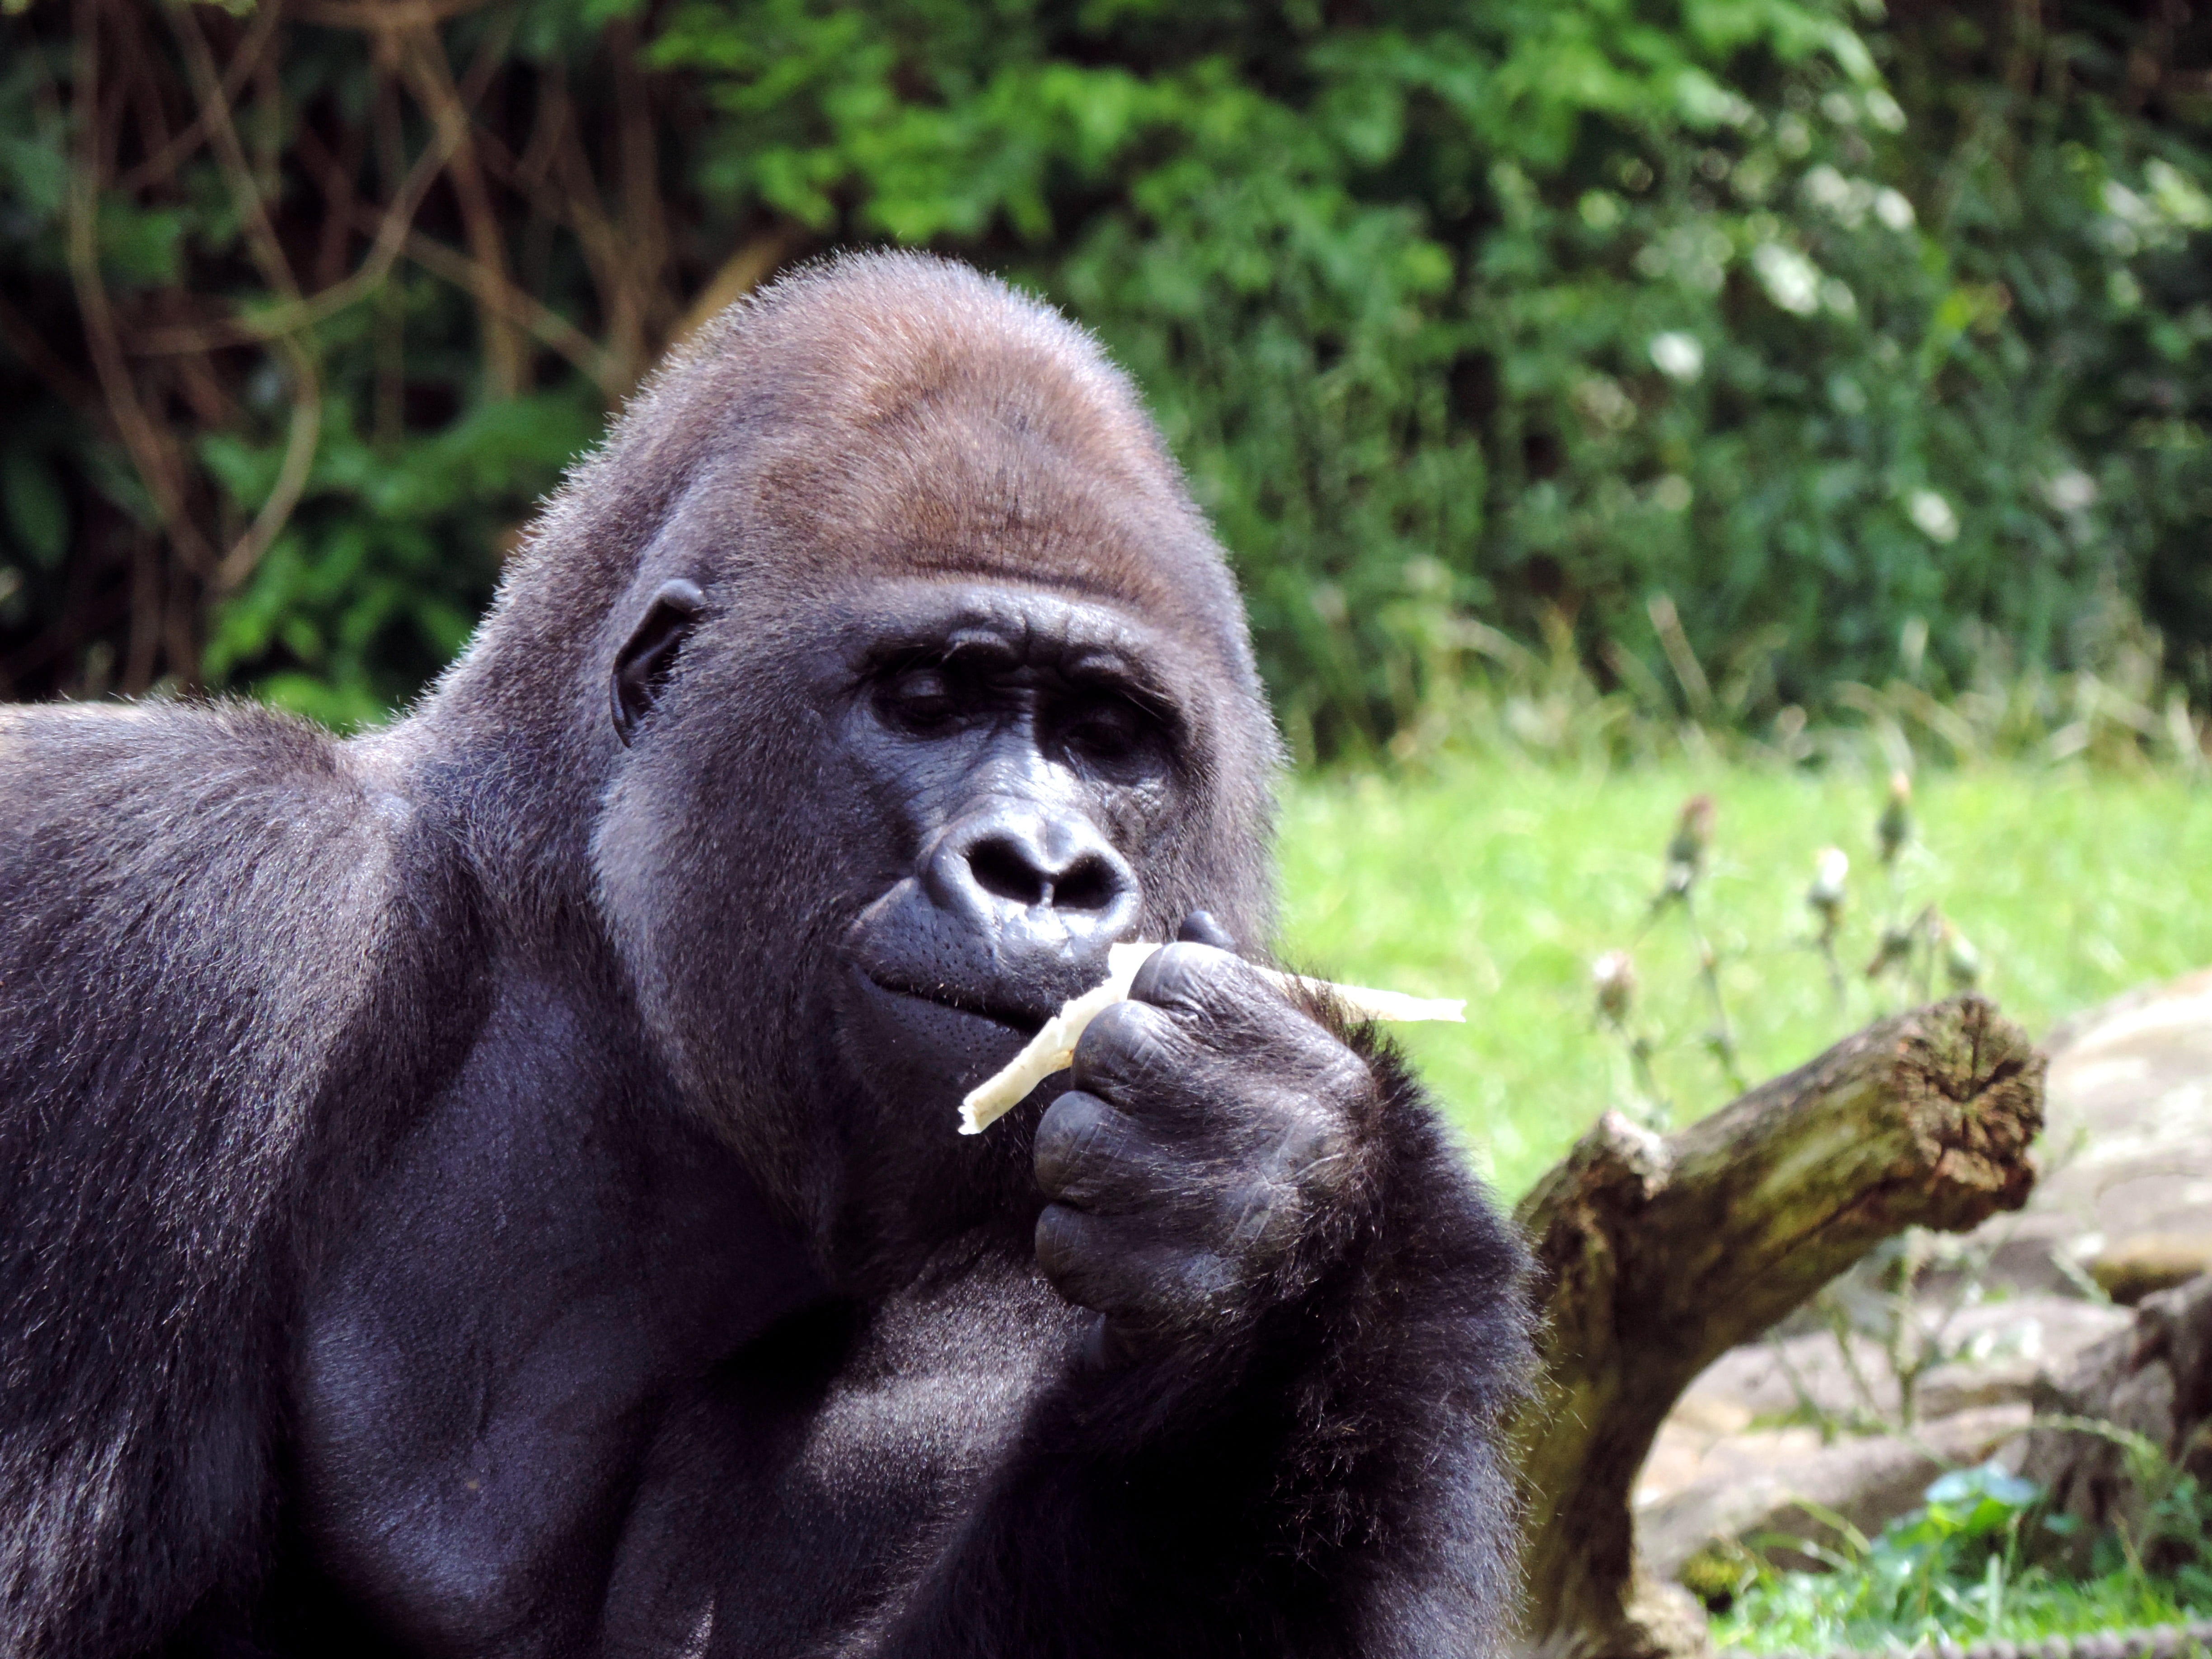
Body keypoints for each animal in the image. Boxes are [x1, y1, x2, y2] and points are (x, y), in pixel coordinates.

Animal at [0, 251, 1532, 1658]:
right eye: (931, 699)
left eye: (1109, 737)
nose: (1045, 873)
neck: (596, 964)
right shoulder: (171, 895)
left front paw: (1279, 1241)